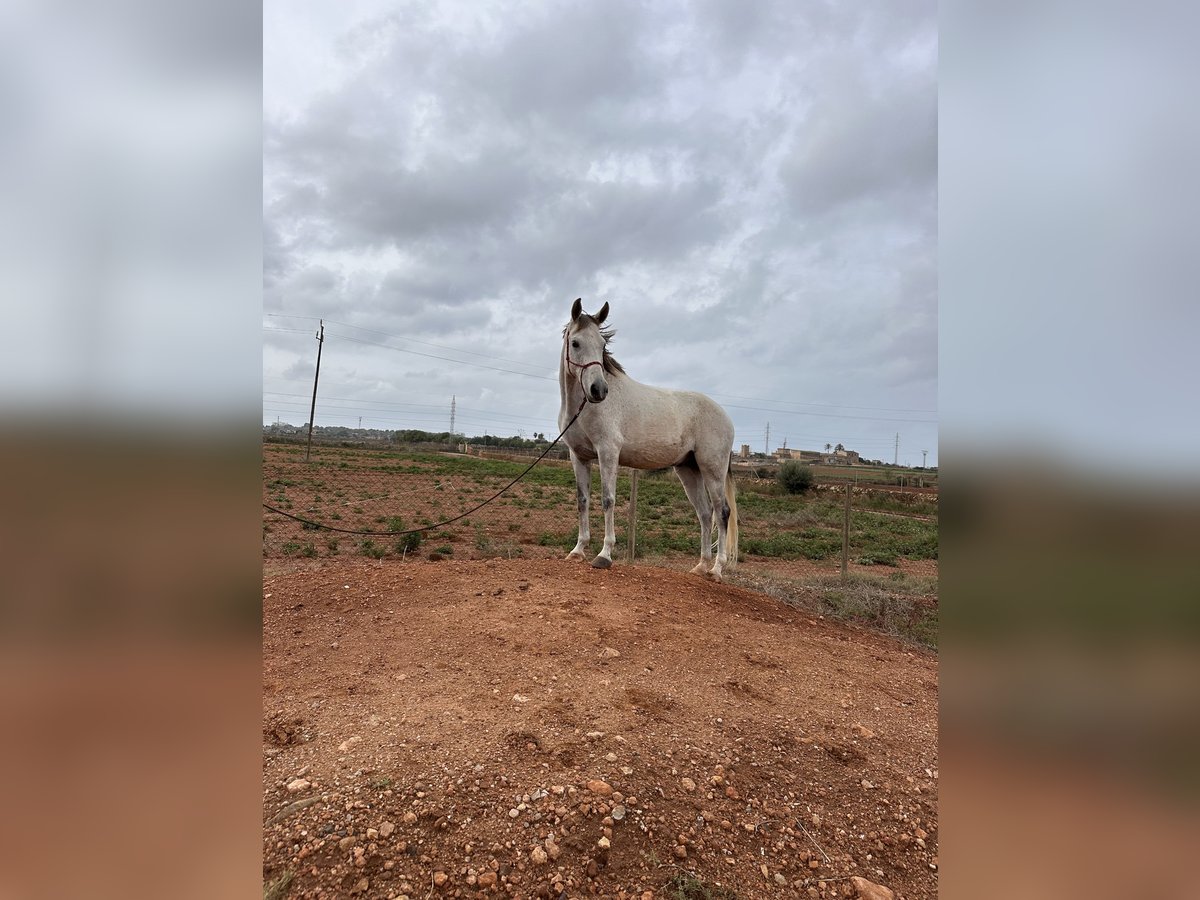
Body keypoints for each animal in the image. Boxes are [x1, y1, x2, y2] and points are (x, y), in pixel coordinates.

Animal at [554, 300, 739, 580]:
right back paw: (700, 566)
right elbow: (582, 500)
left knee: (722, 512)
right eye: (575, 343)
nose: (599, 390)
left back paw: (717, 570)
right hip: (689, 469)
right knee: (705, 513)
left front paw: (604, 555)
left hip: (712, 469)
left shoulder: (608, 453)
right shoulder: (579, 456)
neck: (583, 408)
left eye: (602, 345)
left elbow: (608, 499)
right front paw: (578, 550)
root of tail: (725, 417)